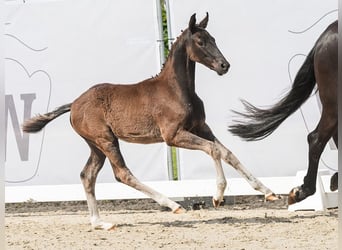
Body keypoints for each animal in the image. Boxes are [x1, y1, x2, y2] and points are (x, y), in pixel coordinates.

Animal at [22, 12, 278, 229]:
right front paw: (217, 197)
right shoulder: (173, 136)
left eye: (213, 38)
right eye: (200, 42)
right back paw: (173, 205)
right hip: (106, 140)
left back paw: (100, 223)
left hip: (95, 145)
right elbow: (213, 150)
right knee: (122, 173)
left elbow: (227, 153)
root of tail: (74, 104)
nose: (224, 66)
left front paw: (268, 192)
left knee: (88, 175)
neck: (177, 90)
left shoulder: (200, 127)